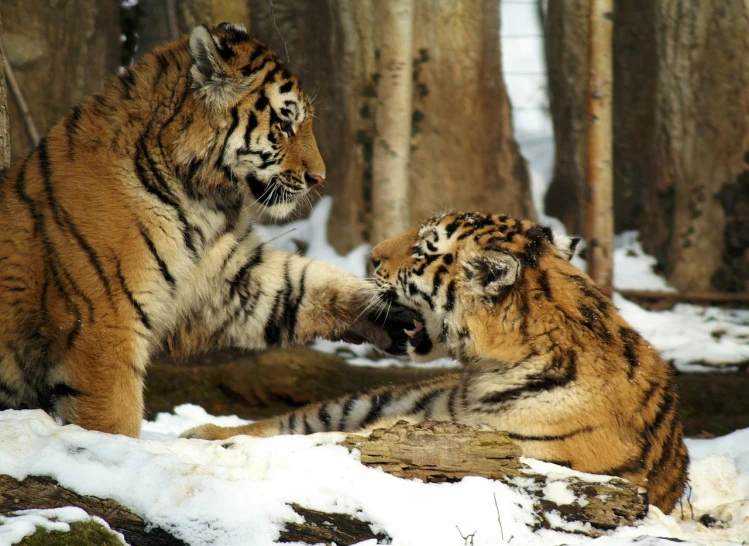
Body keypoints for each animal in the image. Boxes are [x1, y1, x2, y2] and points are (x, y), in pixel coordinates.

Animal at [1, 23, 410, 436]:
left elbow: (303, 285)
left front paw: (386, 308)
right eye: (284, 124)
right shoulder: (104, 323)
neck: (200, 199)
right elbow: (113, 417)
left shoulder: (224, 282)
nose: (319, 178)